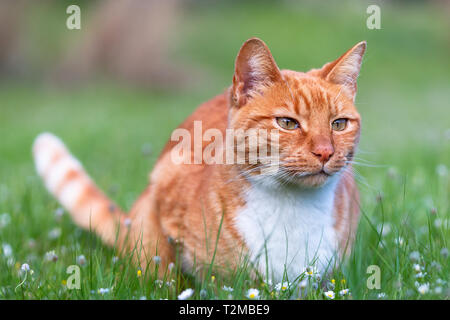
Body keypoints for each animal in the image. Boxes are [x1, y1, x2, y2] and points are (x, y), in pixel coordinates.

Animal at [34, 37, 366, 282]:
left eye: (339, 124)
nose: (325, 152)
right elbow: (175, 277)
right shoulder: (167, 189)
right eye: (287, 123)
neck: (292, 206)